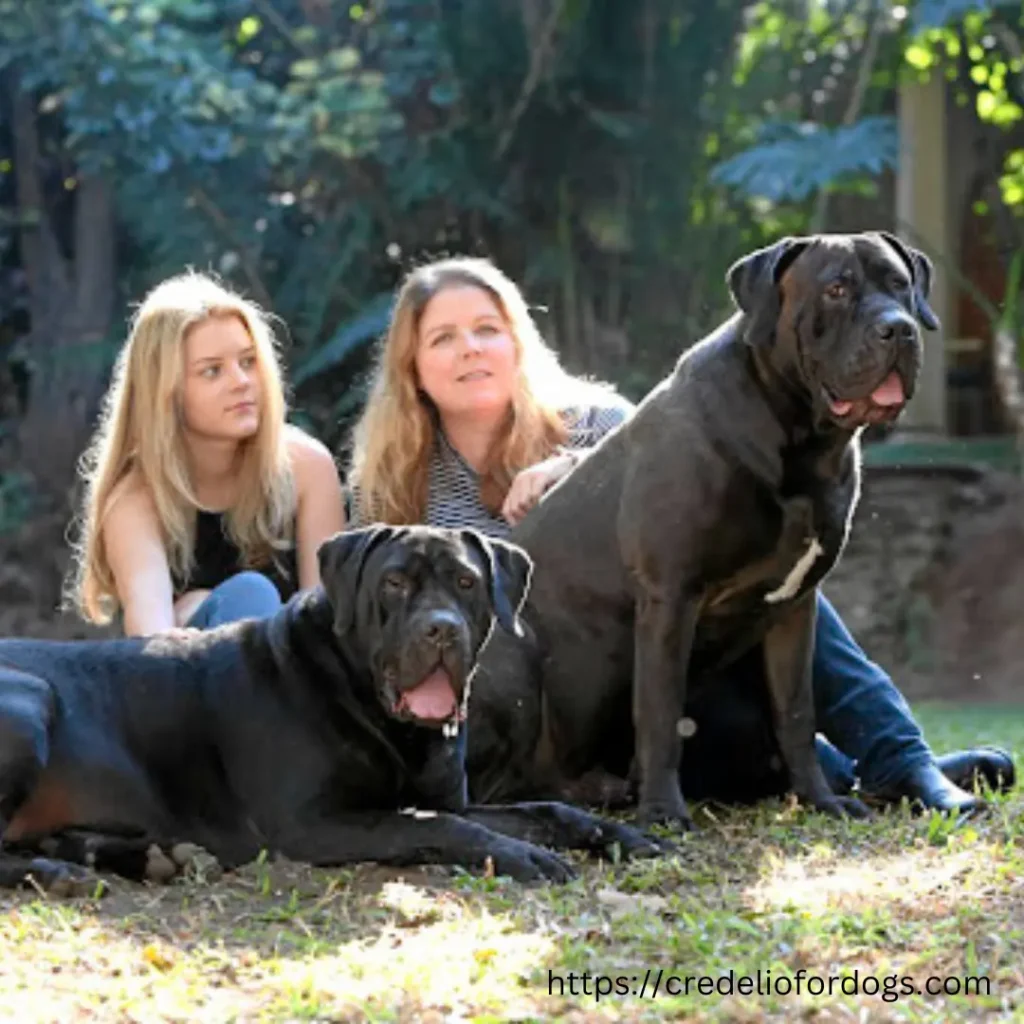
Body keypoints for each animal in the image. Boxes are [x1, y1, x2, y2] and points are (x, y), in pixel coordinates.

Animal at [0, 524, 655, 892]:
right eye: (394, 583)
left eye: (467, 583)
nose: (441, 629)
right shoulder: (310, 823)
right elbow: (441, 825)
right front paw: (523, 856)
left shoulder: (445, 797)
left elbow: (545, 808)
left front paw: (627, 836)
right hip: (34, 701)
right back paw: (60, 875)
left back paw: (148, 857)